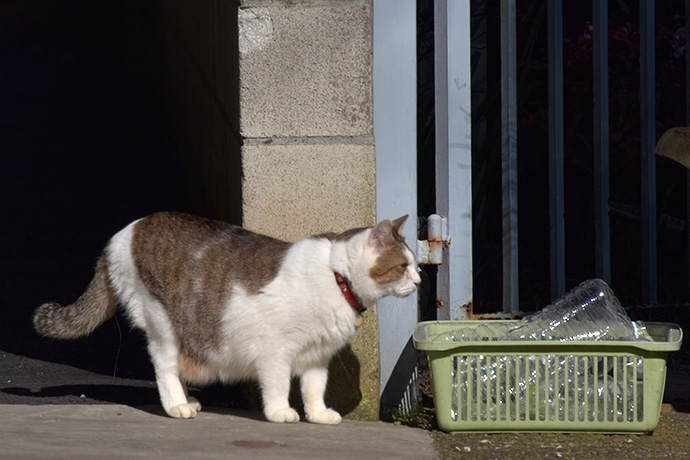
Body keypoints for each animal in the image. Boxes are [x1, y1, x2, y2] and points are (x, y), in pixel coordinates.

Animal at [33, 212, 420, 424]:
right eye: (403, 266)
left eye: (415, 265)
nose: (419, 280)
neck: (336, 278)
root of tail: (121, 235)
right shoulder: (275, 351)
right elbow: (278, 385)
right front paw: (280, 411)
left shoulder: (317, 356)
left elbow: (314, 388)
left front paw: (318, 414)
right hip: (163, 322)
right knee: (164, 366)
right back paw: (177, 404)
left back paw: (187, 399)